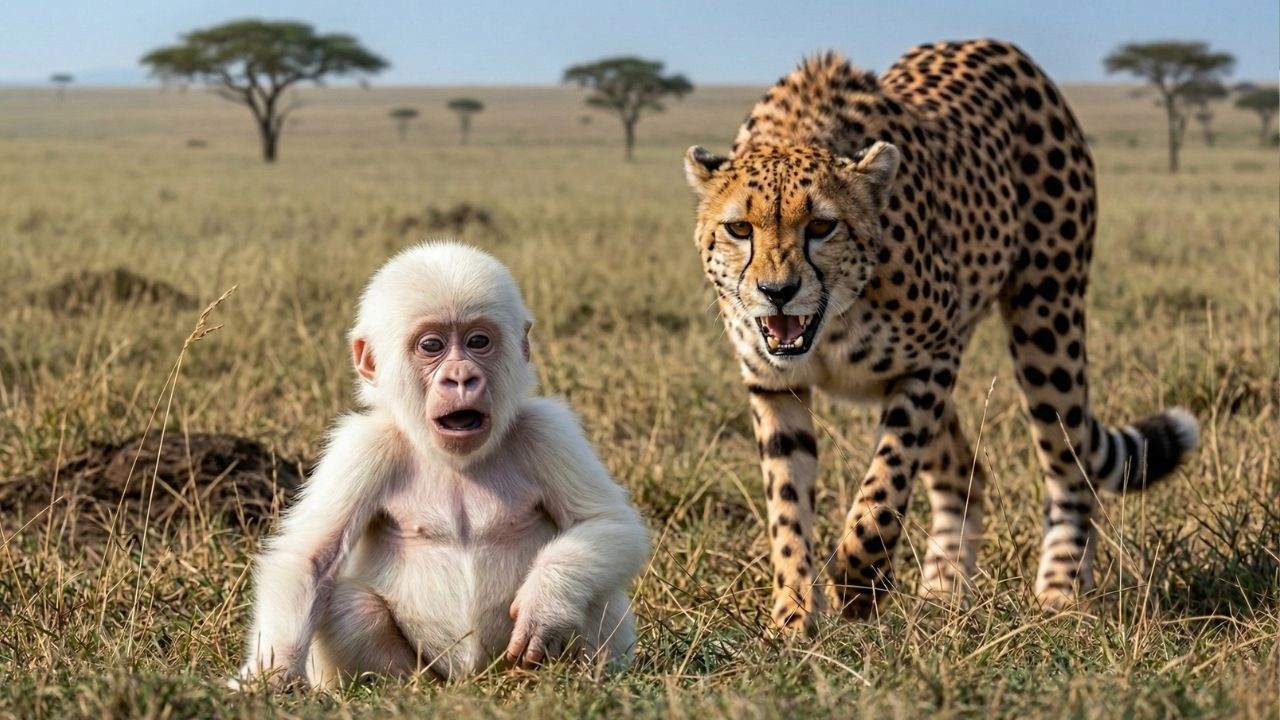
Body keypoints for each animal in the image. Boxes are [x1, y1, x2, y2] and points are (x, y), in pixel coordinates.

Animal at [229, 242, 649, 689]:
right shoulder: (362, 448)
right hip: (427, 672)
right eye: (431, 346)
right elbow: (310, 560)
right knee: (350, 605)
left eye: (478, 341)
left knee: (596, 590)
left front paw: (545, 603)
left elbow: (608, 524)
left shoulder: (547, 432)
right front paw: (269, 675)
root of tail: (472, 679)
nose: (461, 377)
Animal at [682, 39, 1200, 632]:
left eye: (822, 227)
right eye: (739, 229)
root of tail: (1000, 46)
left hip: (1047, 319)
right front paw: (793, 618)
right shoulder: (775, 384)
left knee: (1069, 467)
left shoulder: (931, 359)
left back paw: (1060, 590)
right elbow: (787, 503)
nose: (778, 291)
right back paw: (942, 593)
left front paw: (858, 581)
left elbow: (885, 482)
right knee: (964, 471)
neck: (832, 323)